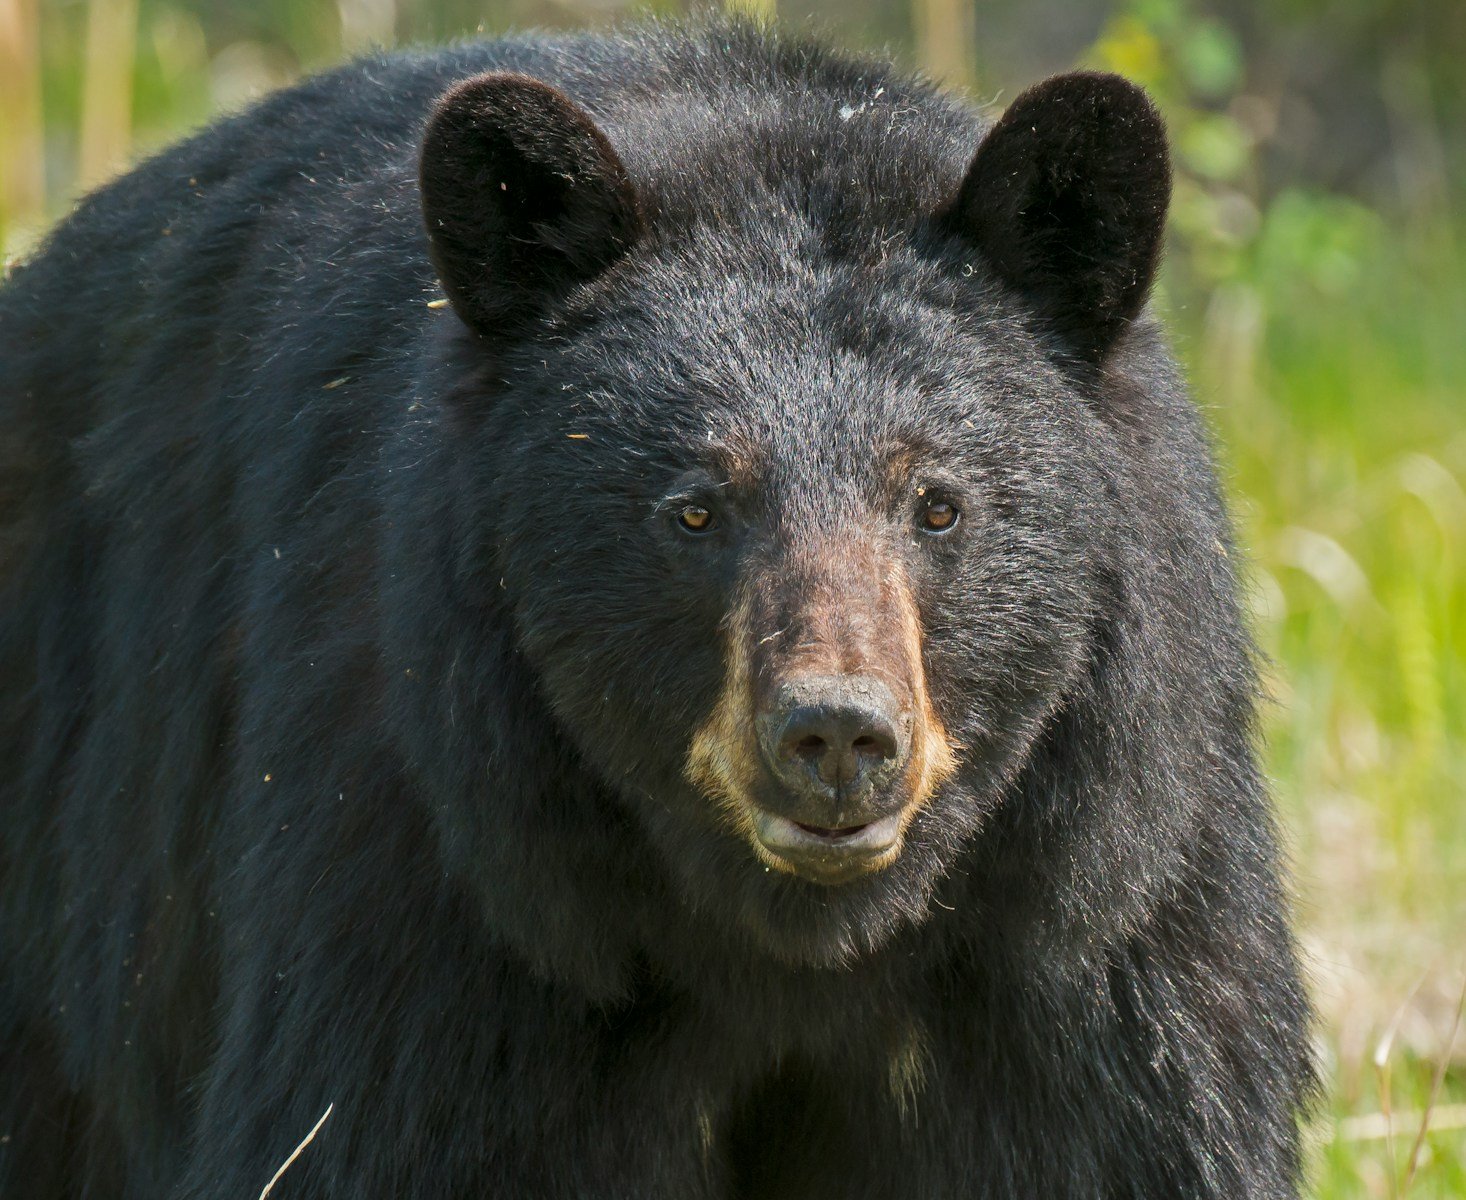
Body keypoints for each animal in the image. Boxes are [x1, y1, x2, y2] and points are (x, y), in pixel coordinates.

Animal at [0, 18, 1314, 1199]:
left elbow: (1134, 1136)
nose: (835, 735)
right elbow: (371, 1133)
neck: (791, 942)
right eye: (694, 509)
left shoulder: (1091, 925)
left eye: (937, 505)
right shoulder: (445, 877)